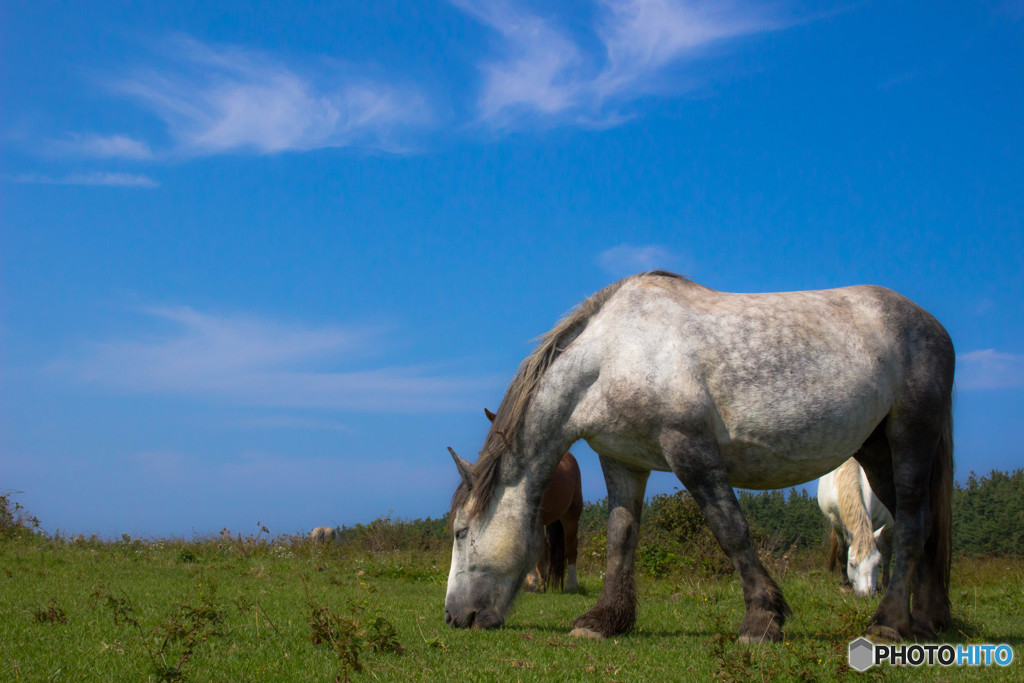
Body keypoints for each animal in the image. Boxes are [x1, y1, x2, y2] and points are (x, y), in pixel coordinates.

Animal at [483, 405, 581, 593]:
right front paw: (531, 583)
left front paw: (532, 582)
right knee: (546, 549)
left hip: (571, 514)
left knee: (571, 546)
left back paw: (571, 585)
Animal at [819, 458, 892, 598]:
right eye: (852, 564)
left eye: (877, 563)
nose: (866, 594)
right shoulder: (836, 521)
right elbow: (841, 552)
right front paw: (844, 586)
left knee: (887, 553)